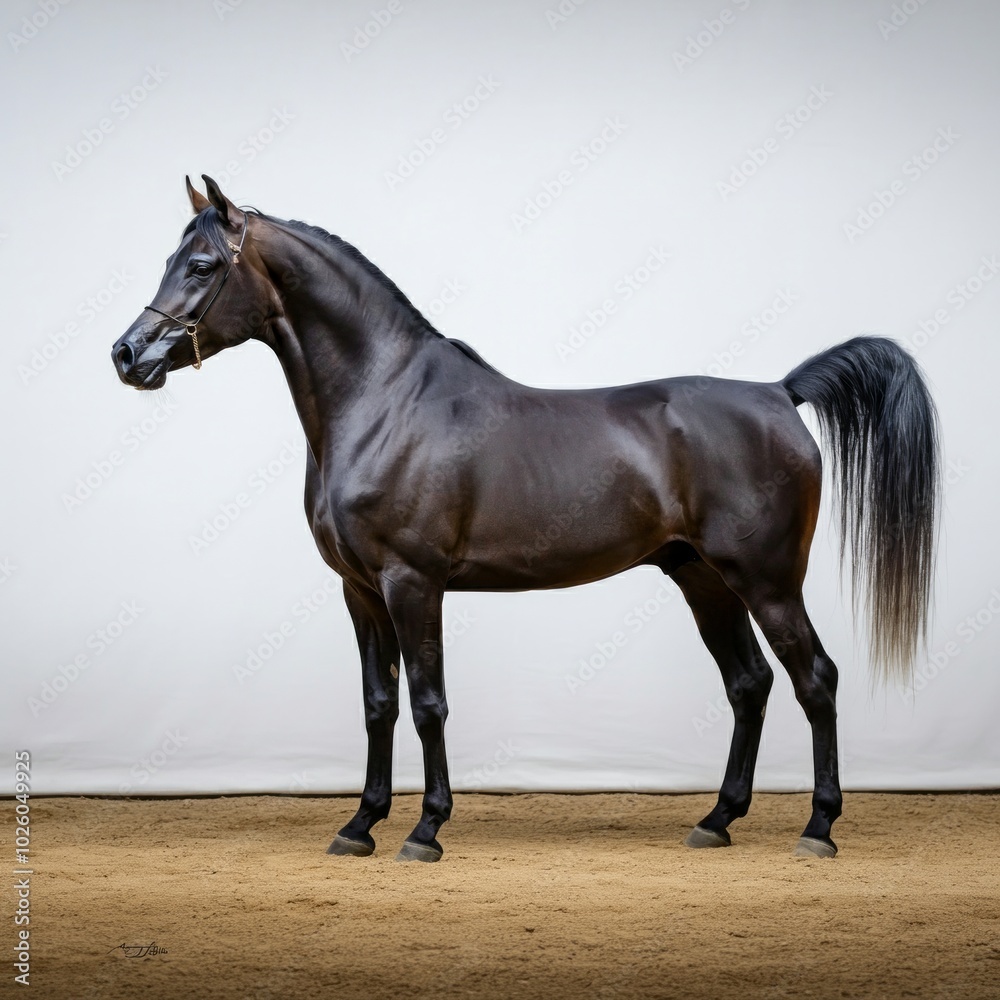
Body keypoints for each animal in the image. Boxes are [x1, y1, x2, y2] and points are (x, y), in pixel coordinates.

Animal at [111, 176, 939, 863]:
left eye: (203, 266)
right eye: (170, 258)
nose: (127, 355)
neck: (383, 402)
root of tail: (778, 391)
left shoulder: (413, 583)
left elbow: (428, 703)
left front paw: (426, 829)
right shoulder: (359, 589)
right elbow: (378, 704)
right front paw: (359, 825)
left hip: (766, 581)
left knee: (815, 679)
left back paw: (819, 827)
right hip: (703, 579)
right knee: (750, 684)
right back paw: (716, 820)